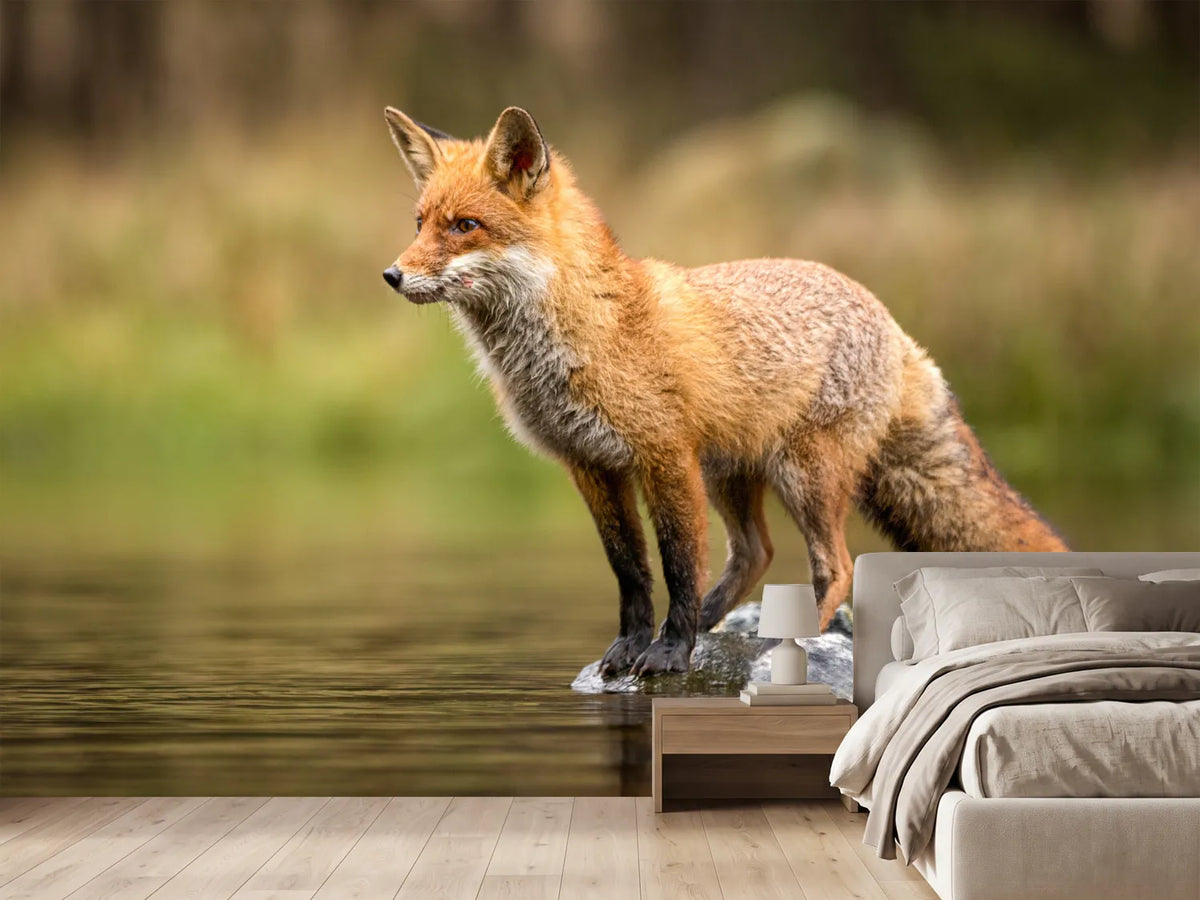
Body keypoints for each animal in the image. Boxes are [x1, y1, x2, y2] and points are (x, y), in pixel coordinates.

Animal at [380, 105, 1068, 677]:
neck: (586, 334)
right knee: (756, 555)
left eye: (464, 226)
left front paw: (670, 652)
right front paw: (632, 646)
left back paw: (799, 643)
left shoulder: (665, 457)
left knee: (836, 566)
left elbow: (679, 563)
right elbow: (630, 570)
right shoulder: (592, 466)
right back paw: (726, 625)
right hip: (733, 474)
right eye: (419, 224)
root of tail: (893, 324)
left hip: (803, 475)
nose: (391, 275)